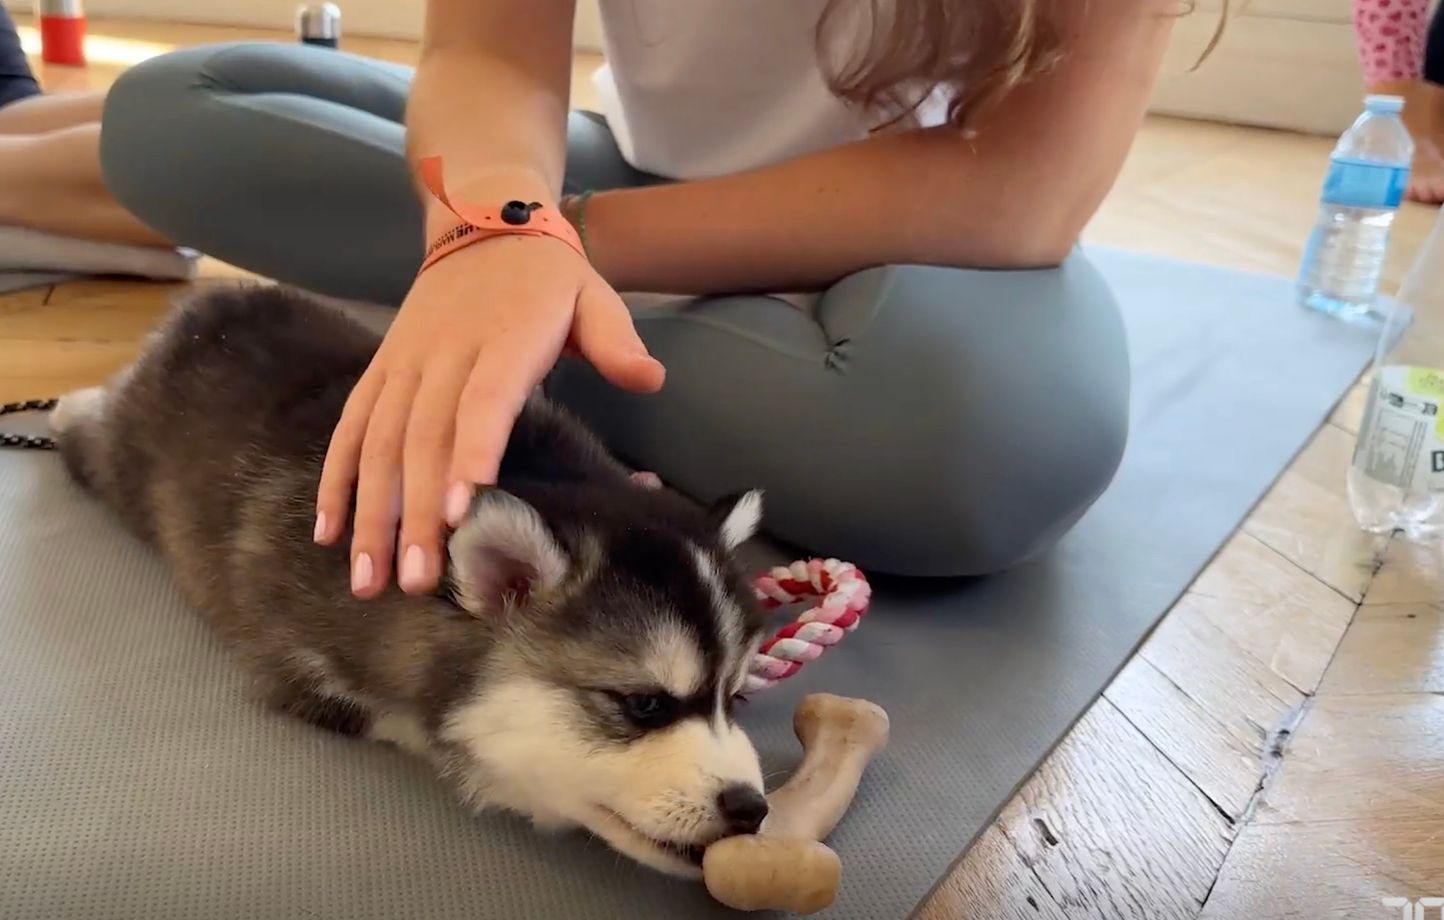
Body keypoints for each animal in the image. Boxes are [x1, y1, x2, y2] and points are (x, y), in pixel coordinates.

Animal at [54, 283, 773, 872]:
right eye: (644, 704)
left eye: (735, 698)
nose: (752, 808)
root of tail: (214, 300)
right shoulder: (294, 662)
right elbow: (401, 719)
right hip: (125, 463)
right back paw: (66, 409)